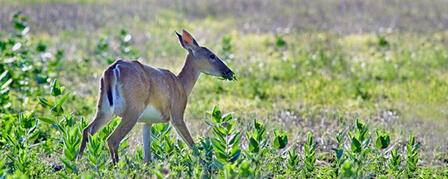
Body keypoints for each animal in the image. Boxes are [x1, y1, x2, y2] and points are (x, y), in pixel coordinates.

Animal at [78, 29, 234, 165]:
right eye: (212, 55)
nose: (229, 71)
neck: (181, 85)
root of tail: (113, 68)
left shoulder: (147, 122)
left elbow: (147, 158)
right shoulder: (177, 114)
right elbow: (192, 145)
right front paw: (206, 165)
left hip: (104, 109)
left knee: (87, 130)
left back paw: (78, 164)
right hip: (132, 110)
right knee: (112, 139)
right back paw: (116, 168)